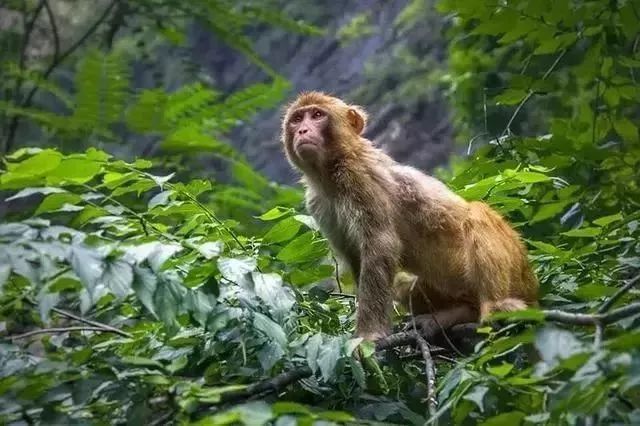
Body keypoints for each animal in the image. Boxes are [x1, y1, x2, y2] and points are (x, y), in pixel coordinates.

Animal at [282, 91, 536, 342]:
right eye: (297, 119)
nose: (302, 130)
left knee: (477, 212)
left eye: (317, 115)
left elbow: (381, 245)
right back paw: (458, 313)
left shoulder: (358, 178)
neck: (330, 171)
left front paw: (368, 335)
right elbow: (356, 256)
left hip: (519, 278)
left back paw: (496, 307)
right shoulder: (318, 203)